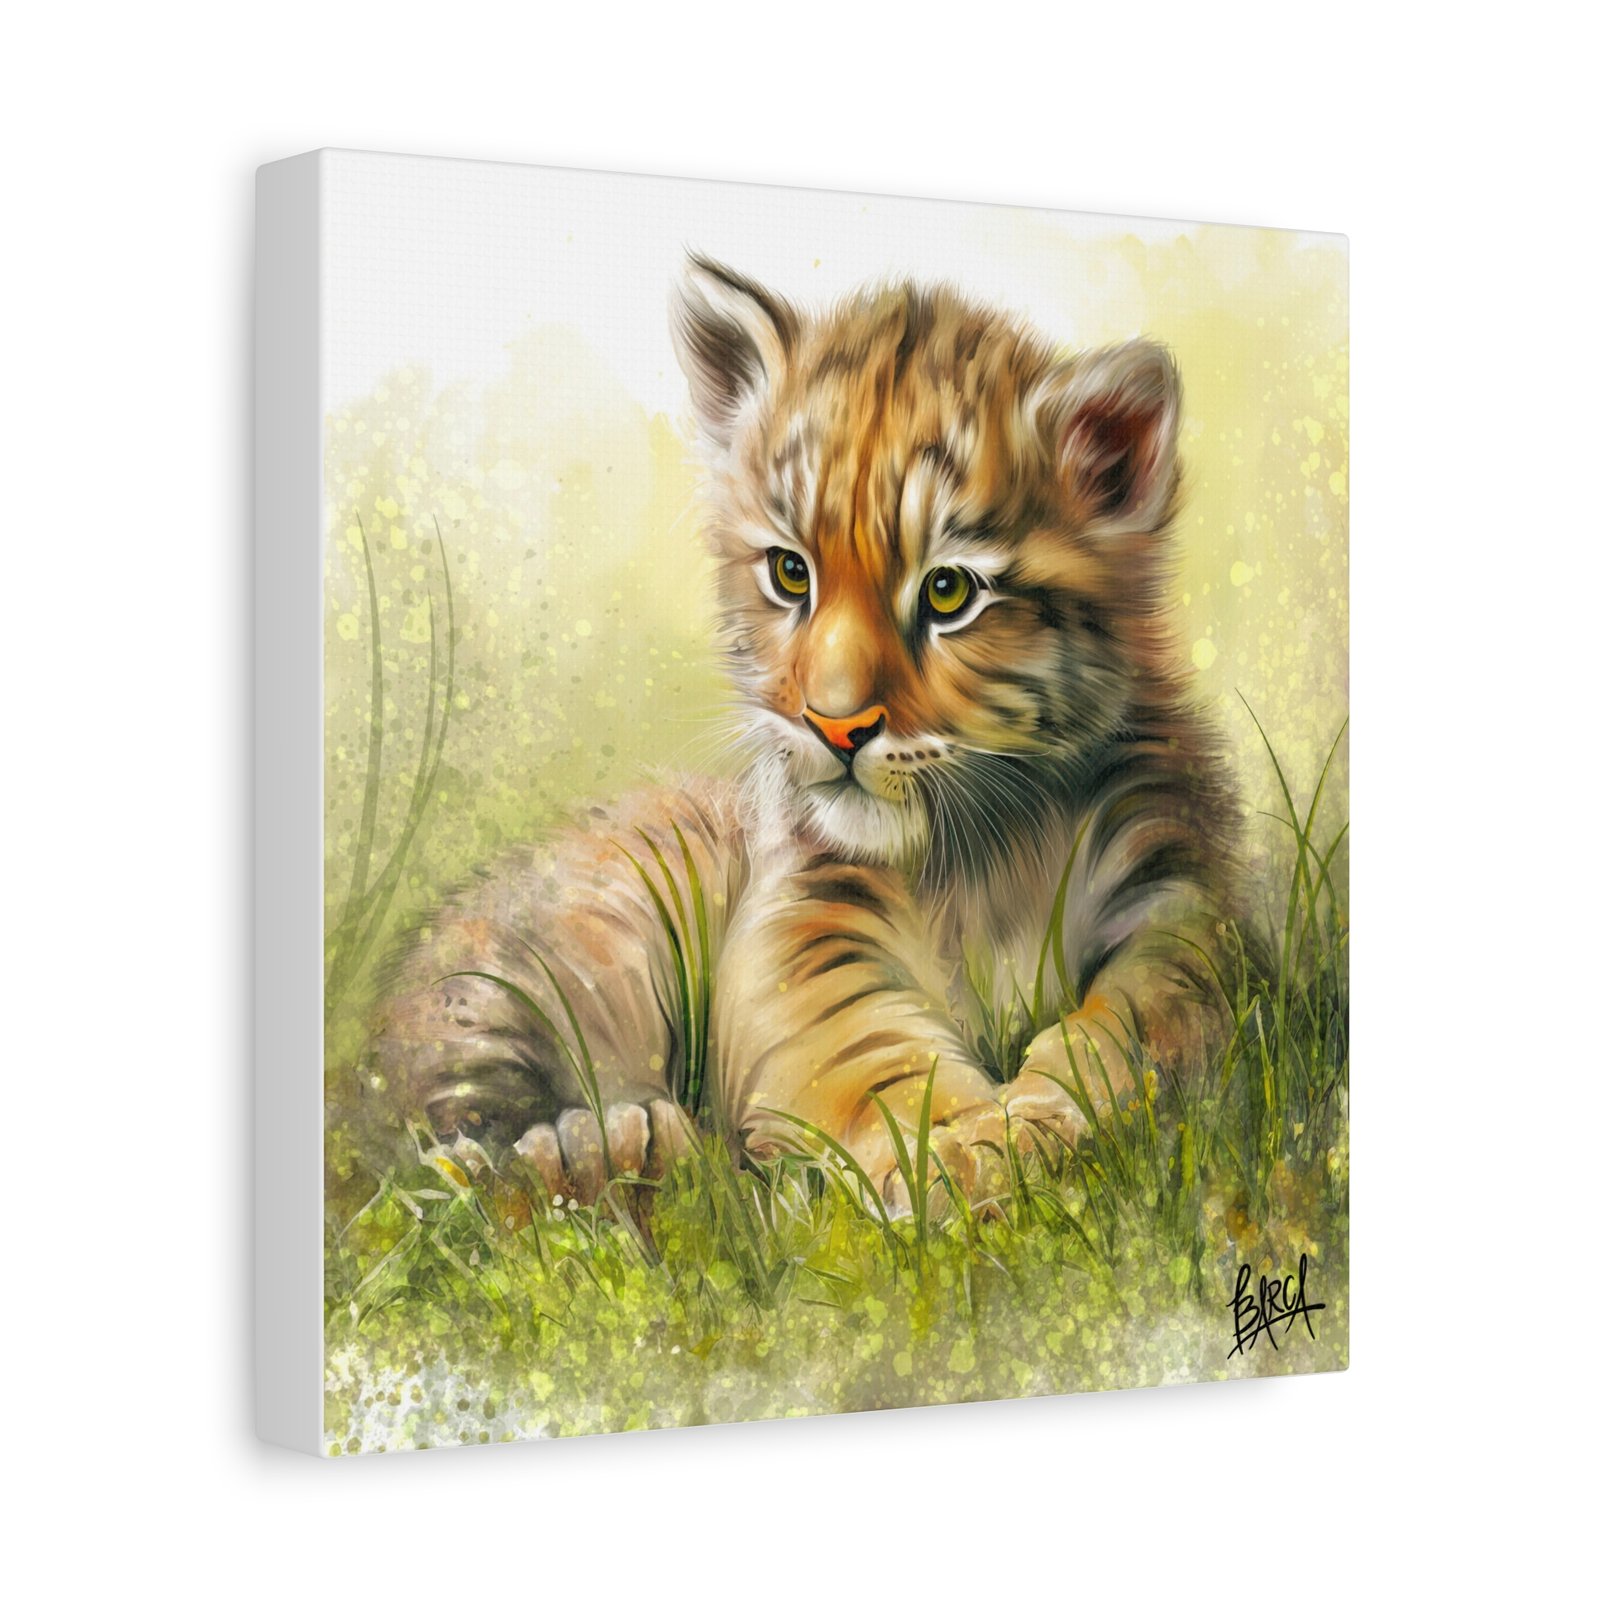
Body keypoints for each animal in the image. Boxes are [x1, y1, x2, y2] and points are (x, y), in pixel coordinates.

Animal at [366, 254, 1243, 1209]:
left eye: (948, 591)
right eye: (791, 573)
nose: (834, 726)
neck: (984, 852)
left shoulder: (1173, 898)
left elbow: (1142, 1019)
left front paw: (1034, 1121)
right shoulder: (807, 917)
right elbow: (868, 1047)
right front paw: (962, 1152)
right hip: (536, 964)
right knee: (437, 1150)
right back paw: (606, 1149)